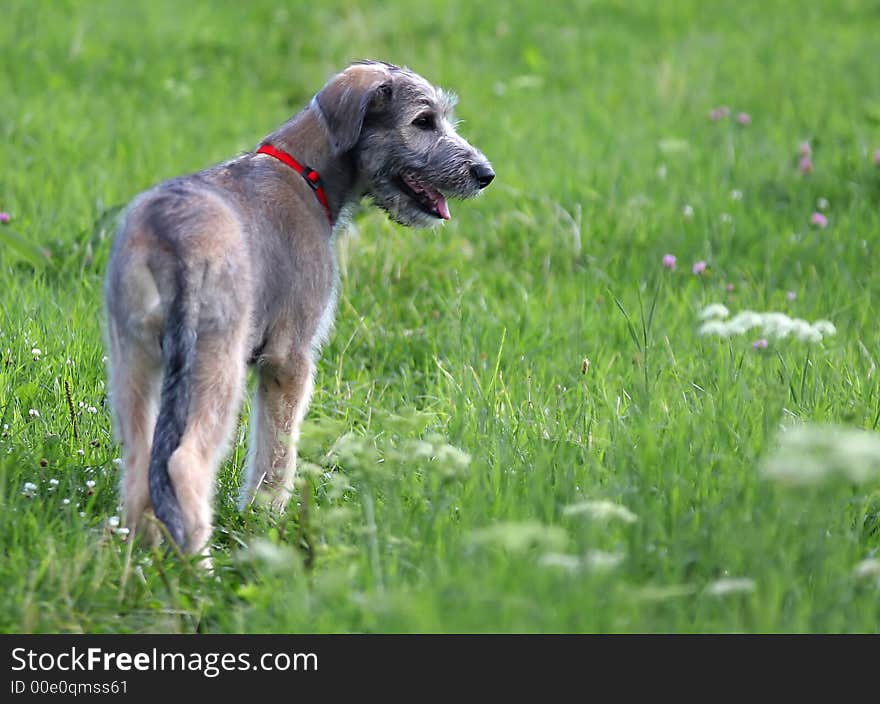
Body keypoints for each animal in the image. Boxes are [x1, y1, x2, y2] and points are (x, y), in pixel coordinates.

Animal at [103, 60, 496, 560]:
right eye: (423, 121)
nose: (485, 174)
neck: (305, 172)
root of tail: (167, 238)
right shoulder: (289, 360)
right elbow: (278, 453)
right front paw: (265, 520)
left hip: (135, 360)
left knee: (140, 465)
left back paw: (142, 559)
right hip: (214, 365)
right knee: (184, 463)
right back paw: (197, 563)